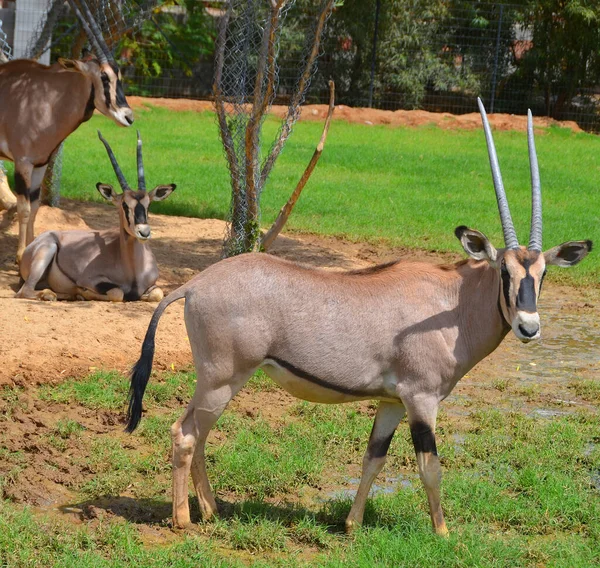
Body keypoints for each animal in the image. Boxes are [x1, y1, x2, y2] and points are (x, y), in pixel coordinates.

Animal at [0, 0, 134, 264]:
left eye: (119, 75)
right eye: (104, 76)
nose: (128, 117)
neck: (48, 99)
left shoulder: (40, 164)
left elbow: (36, 206)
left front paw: (32, 248)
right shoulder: (23, 163)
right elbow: (24, 208)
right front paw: (20, 255)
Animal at [16, 131, 175, 304]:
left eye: (148, 204)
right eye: (124, 205)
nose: (144, 232)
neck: (133, 271)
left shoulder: (153, 285)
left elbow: (157, 294)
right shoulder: (90, 280)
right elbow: (117, 293)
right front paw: (84, 293)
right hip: (47, 250)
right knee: (24, 291)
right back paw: (54, 295)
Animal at [125, 100, 592, 536]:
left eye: (543, 274)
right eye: (504, 271)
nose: (529, 327)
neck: (452, 304)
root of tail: (193, 285)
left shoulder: (391, 402)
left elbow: (373, 458)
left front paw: (352, 524)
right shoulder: (421, 400)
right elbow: (430, 467)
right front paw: (442, 533)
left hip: (219, 381)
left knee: (199, 434)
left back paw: (211, 509)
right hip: (222, 378)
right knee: (185, 433)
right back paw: (183, 519)